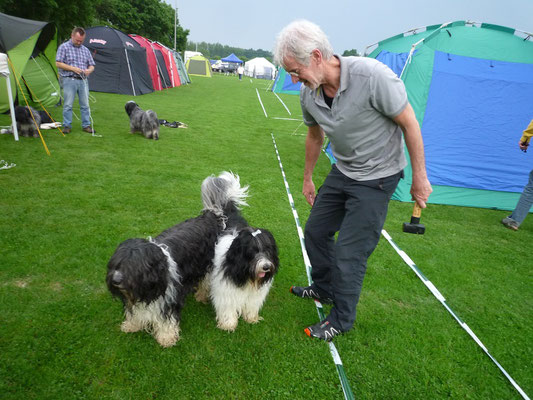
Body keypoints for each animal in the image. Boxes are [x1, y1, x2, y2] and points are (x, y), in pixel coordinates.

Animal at [107, 170, 249, 346]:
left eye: (134, 266)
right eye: (116, 264)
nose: (115, 281)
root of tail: (213, 215)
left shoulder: (169, 297)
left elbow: (166, 320)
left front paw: (166, 338)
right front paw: (132, 325)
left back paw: (201, 295)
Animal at [194, 172, 278, 332]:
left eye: (268, 250)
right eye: (252, 252)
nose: (265, 267)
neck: (247, 275)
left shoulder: (253, 295)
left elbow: (251, 305)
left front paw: (251, 318)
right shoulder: (227, 289)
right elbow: (227, 306)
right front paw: (228, 324)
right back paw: (201, 296)